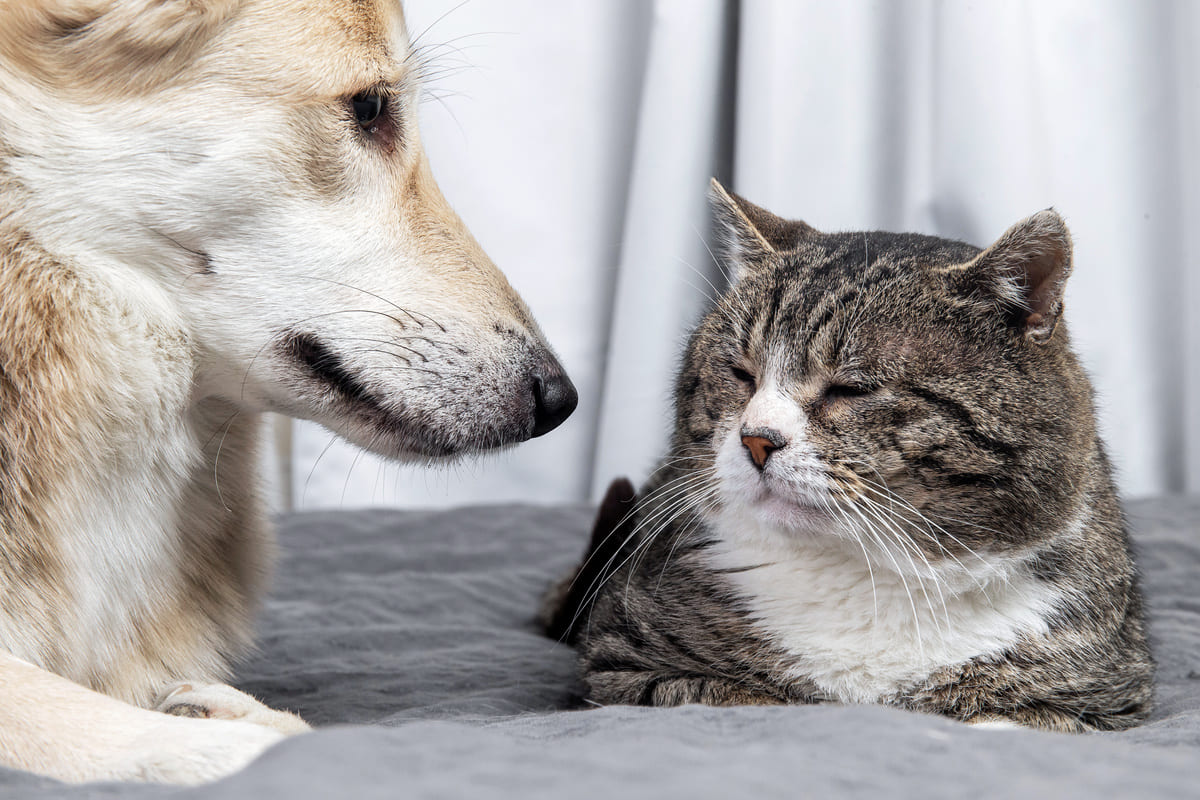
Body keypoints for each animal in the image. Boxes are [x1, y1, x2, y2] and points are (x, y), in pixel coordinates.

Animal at [544, 181, 1152, 734]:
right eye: (741, 373)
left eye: (850, 389)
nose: (756, 438)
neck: (869, 576)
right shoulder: (621, 665)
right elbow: (738, 699)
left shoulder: (1106, 697)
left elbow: (1008, 721)